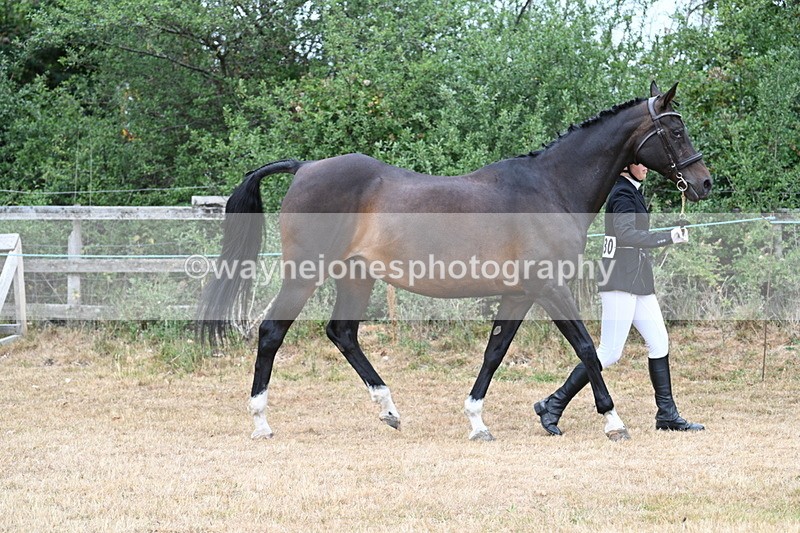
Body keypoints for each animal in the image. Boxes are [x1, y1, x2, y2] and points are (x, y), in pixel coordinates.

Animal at [198, 81, 712, 441]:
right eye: (676, 130)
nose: (703, 183)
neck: (550, 187)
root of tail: (305, 167)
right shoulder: (550, 288)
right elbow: (587, 349)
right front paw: (613, 421)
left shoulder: (519, 294)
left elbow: (495, 352)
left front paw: (478, 421)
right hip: (305, 275)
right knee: (272, 332)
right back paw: (261, 422)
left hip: (357, 276)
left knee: (342, 333)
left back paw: (389, 410)